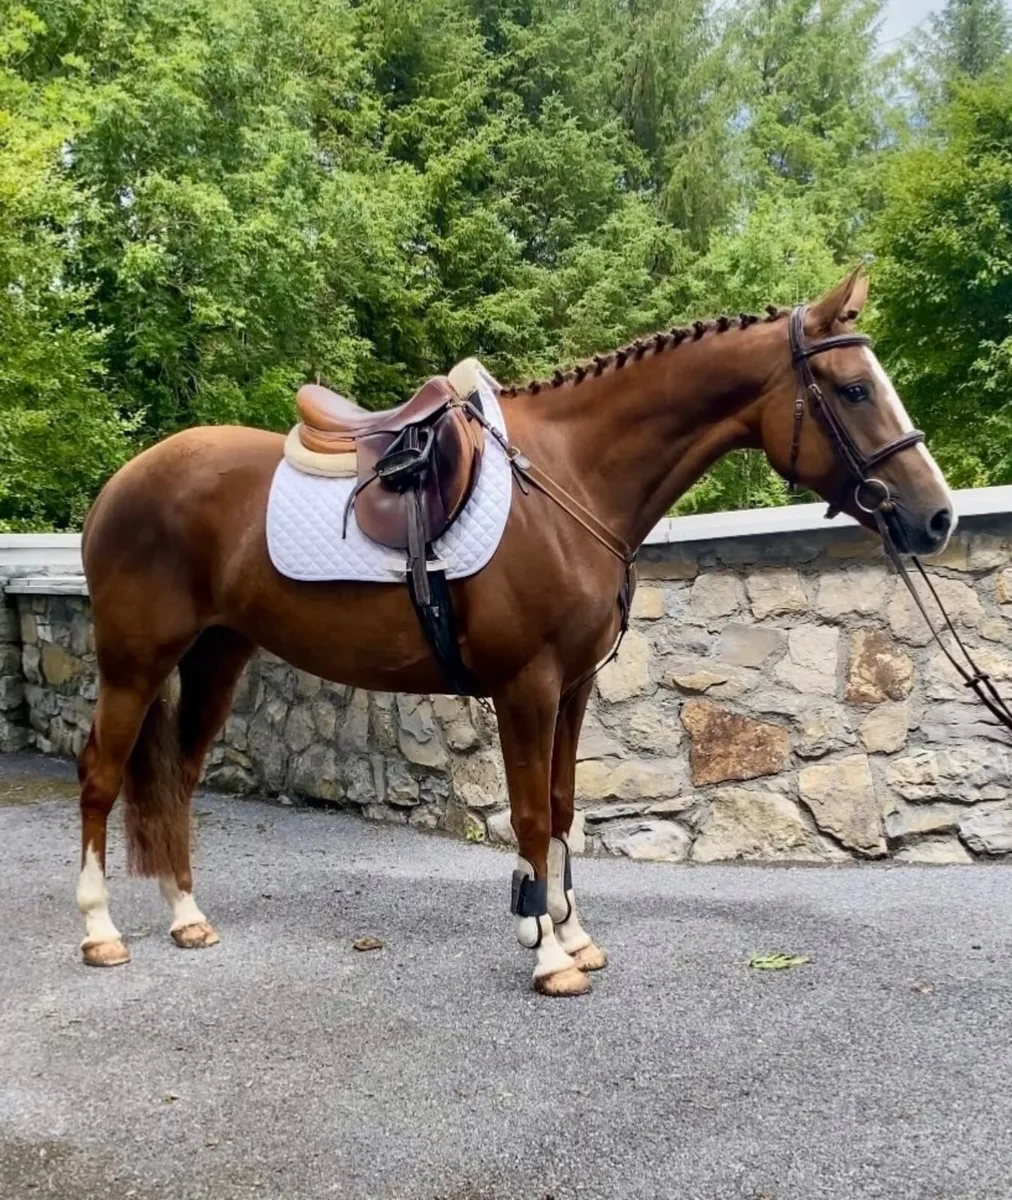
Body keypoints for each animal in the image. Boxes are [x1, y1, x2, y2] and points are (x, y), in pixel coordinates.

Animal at [75, 268, 954, 996]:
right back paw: (100, 932)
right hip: (134, 662)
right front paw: (548, 954)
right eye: (853, 390)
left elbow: (562, 809)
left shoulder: (574, 687)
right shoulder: (524, 686)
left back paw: (188, 918)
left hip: (216, 657)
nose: (936, 517)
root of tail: (119, 484)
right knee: (101, 777)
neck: (569, 481)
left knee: (179, 777)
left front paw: (574, 932)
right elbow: (530, 816)